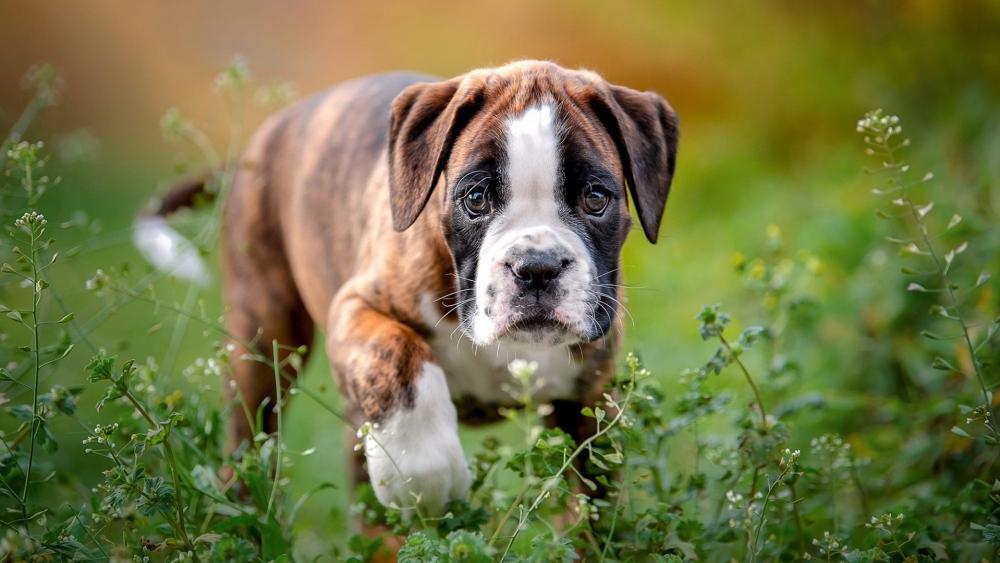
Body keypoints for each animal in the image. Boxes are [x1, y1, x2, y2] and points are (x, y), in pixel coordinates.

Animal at [135, 60, 680, 516]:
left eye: (596, 198)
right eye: (475, 198)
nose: (537, 267)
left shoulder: (588, 408)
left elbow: (593, 513)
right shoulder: (356, 307)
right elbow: (398, 354)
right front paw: (425, 475)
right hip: (264, 339)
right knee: (250, 444)